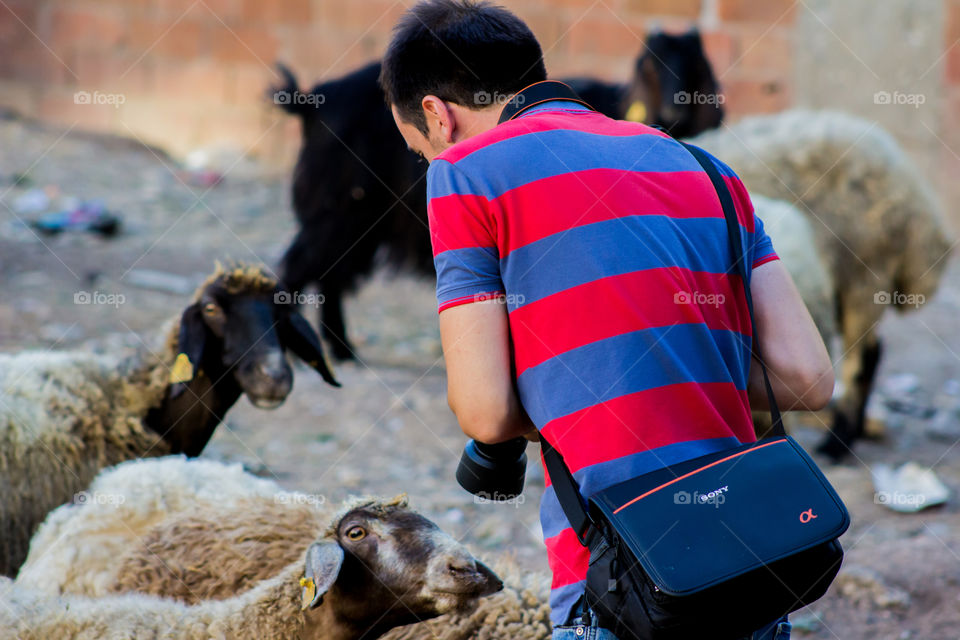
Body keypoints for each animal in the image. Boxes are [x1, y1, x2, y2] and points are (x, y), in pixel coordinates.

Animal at [274, 30, 724, 360]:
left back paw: (341, 350)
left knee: (330, 271)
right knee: (303, 267)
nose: (674, 109)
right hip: (338, 211)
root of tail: (313, 101)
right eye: (650, 66)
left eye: (695, 66)